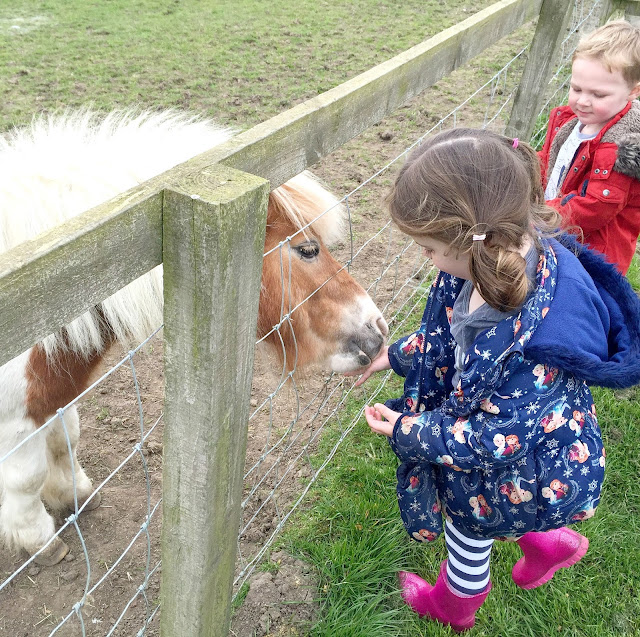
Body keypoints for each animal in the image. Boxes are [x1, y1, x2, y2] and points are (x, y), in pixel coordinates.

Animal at [0, 108, 390, 560]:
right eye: (307, 249)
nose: (378, 328)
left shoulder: (51, 392)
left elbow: (66, 438)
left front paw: (74, 494)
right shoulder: (16, 419)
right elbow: (26, 477)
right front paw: (39, 540)